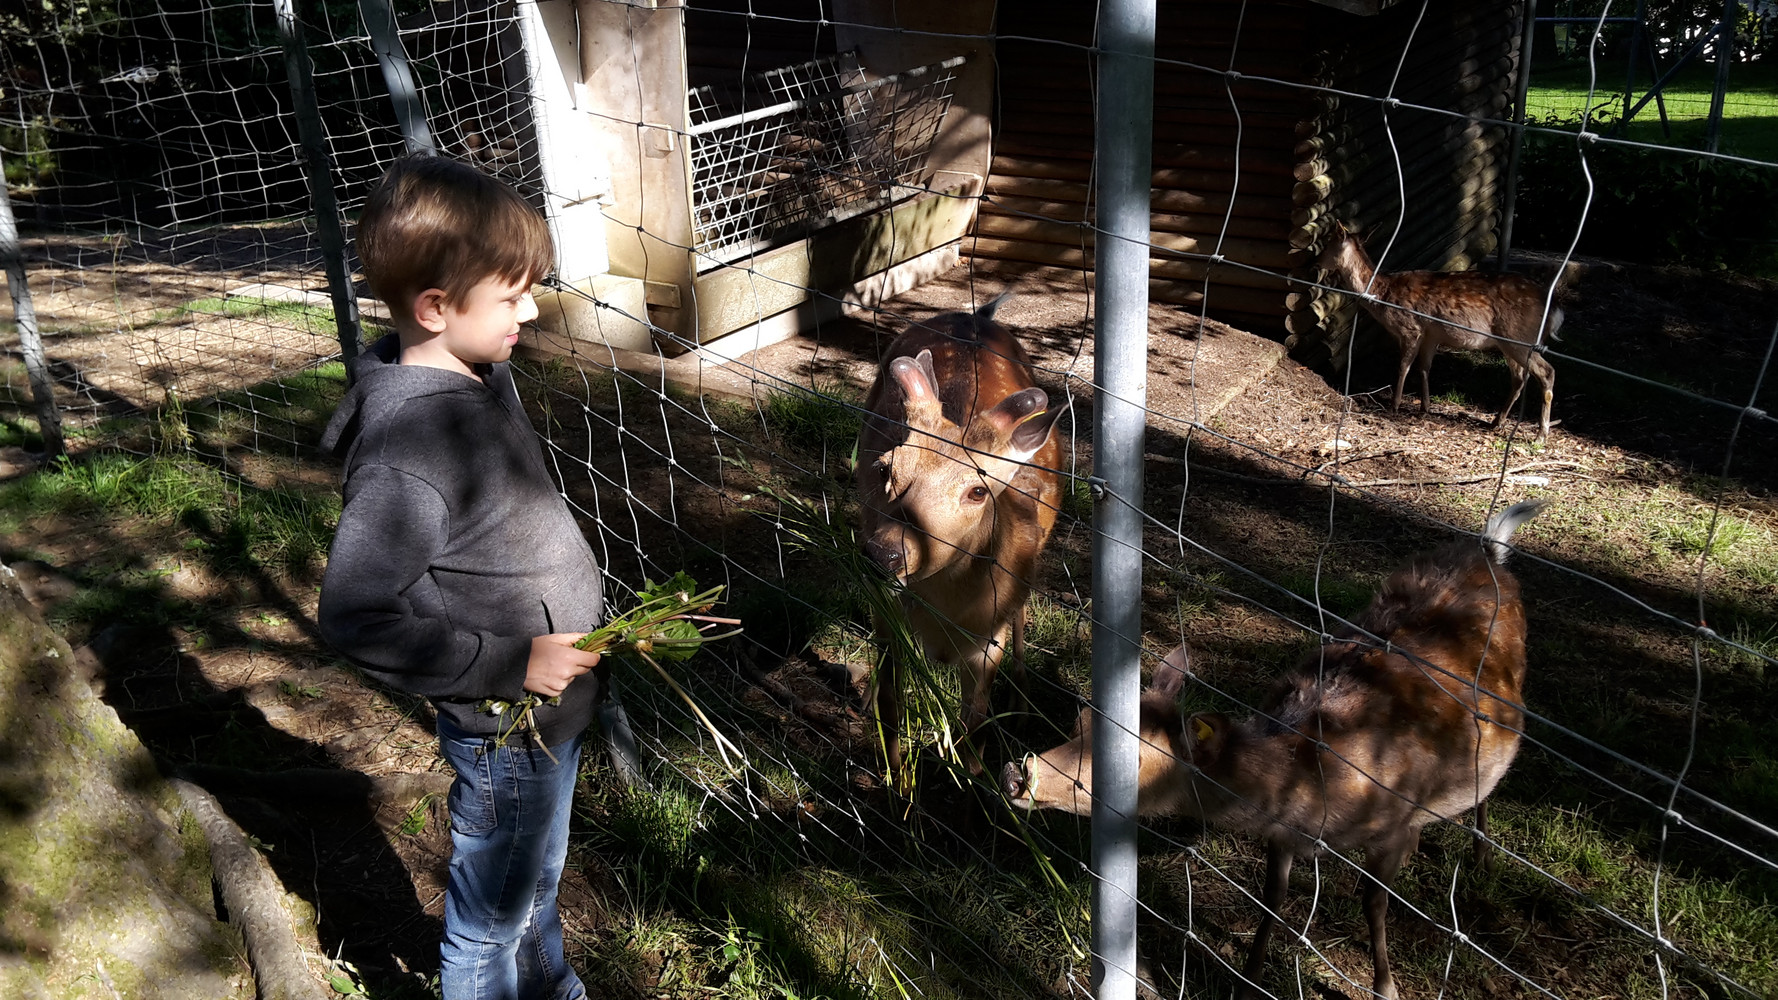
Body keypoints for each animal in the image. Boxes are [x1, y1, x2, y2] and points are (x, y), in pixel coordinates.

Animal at [856, 296, 1068, 779]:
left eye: (978, 491)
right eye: (885, 467)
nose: (883, 553)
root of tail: (978, 314)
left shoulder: (989, 640)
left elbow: (975, 727)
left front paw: (970, 781)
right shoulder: (885, 612)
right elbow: (891, 704)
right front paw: (896, 782)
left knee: (1022, 617)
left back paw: (1022, 704)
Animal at [1003, 500, 1546, 1000]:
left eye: (1131, 760)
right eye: (1079, 718)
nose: (1018, 774)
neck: (1322, 787)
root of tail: (1488, 551)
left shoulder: (1391, 822)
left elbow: (1373, 902)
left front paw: (1385, 987)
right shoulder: (1284, 831)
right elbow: (1273, 896)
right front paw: (1250, 978)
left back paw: (1481, 856)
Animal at [1319, 225, 1565, 440]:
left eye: (1328, 243)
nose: (1316, 261)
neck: (1383, 295)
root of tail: (1555, 311)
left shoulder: (1411, 328)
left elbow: (1403, 366)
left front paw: (1395, 405)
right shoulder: (1432, 334)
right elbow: (1424, 367)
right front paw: (1425, 407)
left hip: (1519, 337)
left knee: (1547, 371)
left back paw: (1541, 434)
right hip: (1510, 343)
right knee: (1519, 377)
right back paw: (1497, 422)